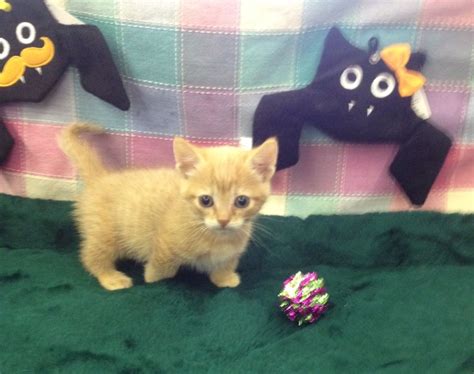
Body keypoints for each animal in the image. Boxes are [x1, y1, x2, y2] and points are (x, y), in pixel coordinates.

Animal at [58, 124, 278, 290]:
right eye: (206, 200)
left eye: (242, 201)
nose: (223, 220)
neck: (215, 237)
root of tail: (101, 178)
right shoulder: (164, 243)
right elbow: (164, 268)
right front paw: (152, 277)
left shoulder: (230, 253)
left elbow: (225, 264)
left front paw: (224, 278)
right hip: (104, 234)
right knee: (91, 257)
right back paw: (110, 277)